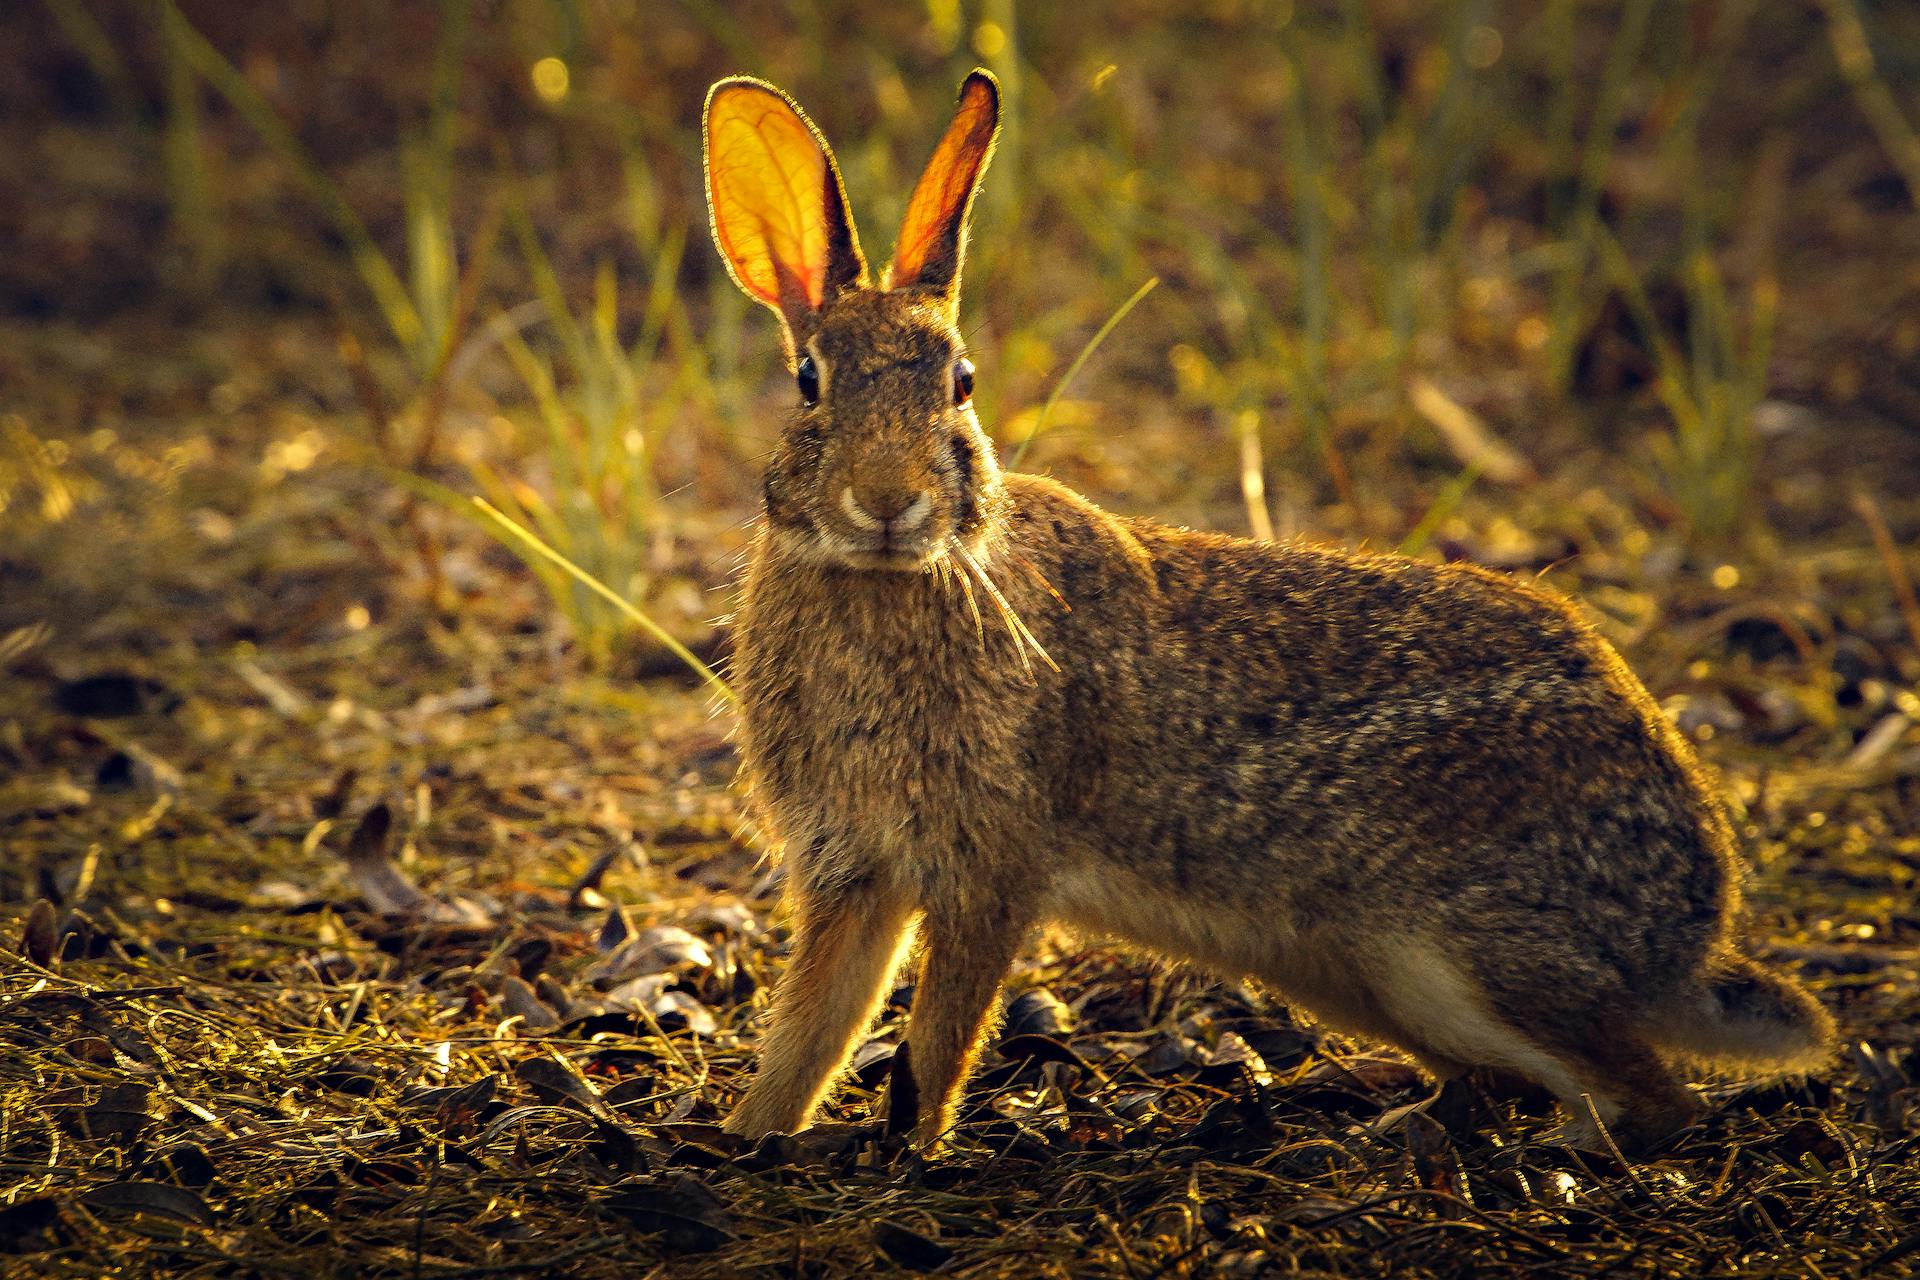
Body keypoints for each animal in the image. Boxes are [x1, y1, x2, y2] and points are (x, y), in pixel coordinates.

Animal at [702, 70, 1827, 1159]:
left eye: (962, 383)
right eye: (809, 381)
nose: (888, 500)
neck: (891, 577)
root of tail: (1688, 931)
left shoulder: (991, 865)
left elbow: (937, 1035)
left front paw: (907, 1151)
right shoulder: (853, 869)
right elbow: (814, 1027)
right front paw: (747, 1138)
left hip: (1465, 953)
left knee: (1655, 1097)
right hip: (1369, 973)